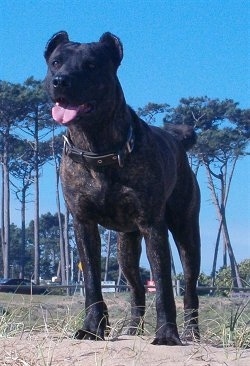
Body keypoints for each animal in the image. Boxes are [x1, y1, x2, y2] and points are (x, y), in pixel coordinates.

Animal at [44, 31, 201, 346]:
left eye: (91, 66)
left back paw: (191, 332)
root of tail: (179, 141)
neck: (97, 147)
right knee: (136, 288)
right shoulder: (83, 223)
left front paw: (167, 334)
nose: (61, 80)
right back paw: (131, 331)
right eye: (55, 62)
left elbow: (163, 286)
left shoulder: (153, 227)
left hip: (187, 233)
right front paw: (92, 329)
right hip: (126, 247)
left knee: (190, 287)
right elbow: (92, 283)